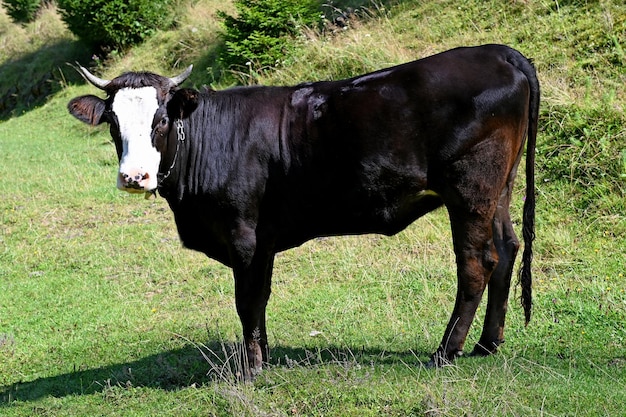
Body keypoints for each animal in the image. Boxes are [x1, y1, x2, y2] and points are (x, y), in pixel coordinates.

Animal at [67, 44, 536, 372]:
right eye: (113, 123)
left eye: (161, 120)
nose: (134, 177)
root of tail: (497, 51)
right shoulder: (264, 239)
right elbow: (260, 297)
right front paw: (263, 355)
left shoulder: (243, 233)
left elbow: (246, 299)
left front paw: (251, 367)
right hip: (500, 189)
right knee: (507, 249)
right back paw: (487, 344)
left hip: (470, 189)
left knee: (476, 262)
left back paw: (446, 351)